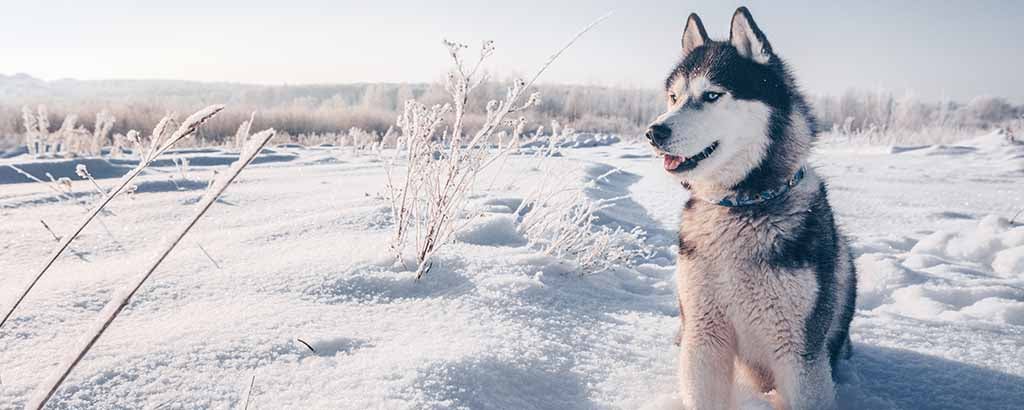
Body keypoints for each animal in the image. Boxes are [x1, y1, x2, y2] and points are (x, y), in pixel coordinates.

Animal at [647, 6, 856, 410]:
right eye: (674, 97)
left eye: (712, 95)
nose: (654, 132)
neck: (740, 205)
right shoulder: (704, 336)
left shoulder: (799, 351)